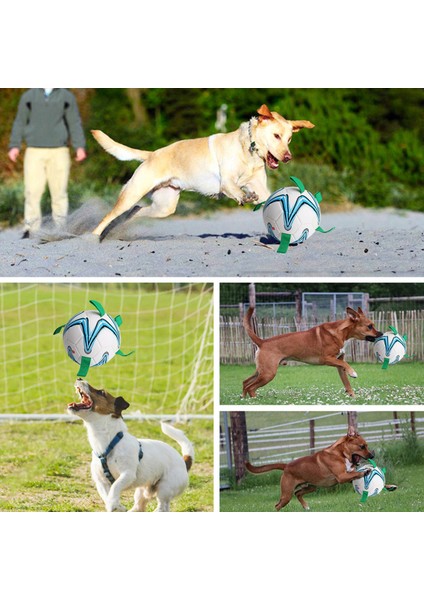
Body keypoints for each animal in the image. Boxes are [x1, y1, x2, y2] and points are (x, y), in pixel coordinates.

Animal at [68, 380, 194, 510]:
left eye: (101, 392)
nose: (79, 379)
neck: (109, 442)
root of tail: (184, 462)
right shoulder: (101, 482)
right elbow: (107, 497)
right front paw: (117, 506)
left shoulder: (127, 474)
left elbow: (115, 487)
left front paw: (113, 504)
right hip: (142, 491)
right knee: (140, 506)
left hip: (165, 488)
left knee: (162, 507)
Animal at [90, 104, 314, 238]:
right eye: (276, 136)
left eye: (289, 139)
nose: (288, 157)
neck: (248, 150)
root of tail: (151, 154)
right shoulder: (226, 182)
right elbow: (236, 189)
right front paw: (245, 196)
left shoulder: (261, 188)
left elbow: (268, 197)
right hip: (133, 193)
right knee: (108, 217)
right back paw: (91, 238)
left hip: (164, 206)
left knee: (135, 211)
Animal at [242, 304, 384, 398]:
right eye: (370, 326)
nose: (381, 333)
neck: (340, 333)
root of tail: (262, 342)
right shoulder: (327, 359)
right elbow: (346, 365)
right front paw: (353, 373)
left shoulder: (338, 363)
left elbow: (346, 381)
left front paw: (352, 395)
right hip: (268, 373)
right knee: (250, 387)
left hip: (262, 371)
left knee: (245, 383)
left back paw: (244, 398)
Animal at [247, 426, 396, 510]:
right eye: (362, 446)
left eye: (366, 445)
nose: (372, 455)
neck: (341, 454)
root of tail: (286, 466)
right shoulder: (342, 477)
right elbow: (358, 474)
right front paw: (366, 471)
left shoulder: (348, 475)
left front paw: (389, 486)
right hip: (286, 494)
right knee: (278, 504)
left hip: (311, 487)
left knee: (298, 493)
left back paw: (306, 507)